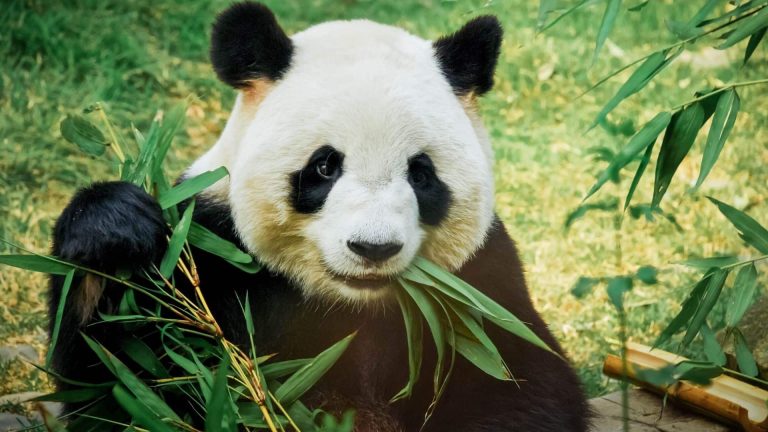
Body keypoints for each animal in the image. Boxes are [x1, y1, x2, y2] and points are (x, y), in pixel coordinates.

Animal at [49, 2, 590, 431]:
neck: (350, 304)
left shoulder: (477, 280)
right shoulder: (211, 247)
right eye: (325, 167)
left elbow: (519, 379)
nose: (373, 248)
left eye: (421, 174)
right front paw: (113, 231)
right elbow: (125, 380)